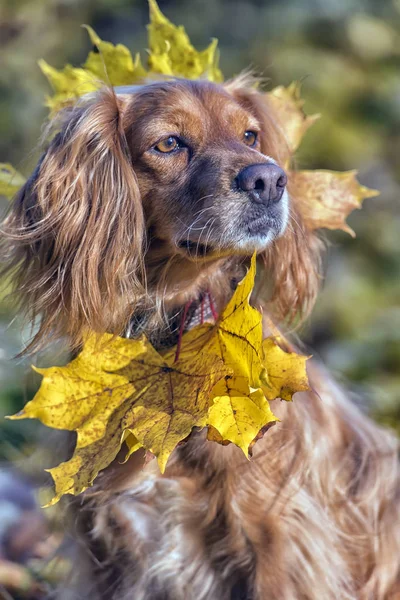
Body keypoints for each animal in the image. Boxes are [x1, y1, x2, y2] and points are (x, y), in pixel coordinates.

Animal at [1, 76, 398, 600]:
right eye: (169, 143)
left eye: (250, 135)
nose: (269, 179)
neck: (169, 337)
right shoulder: (107, 552)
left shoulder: (282, 542)